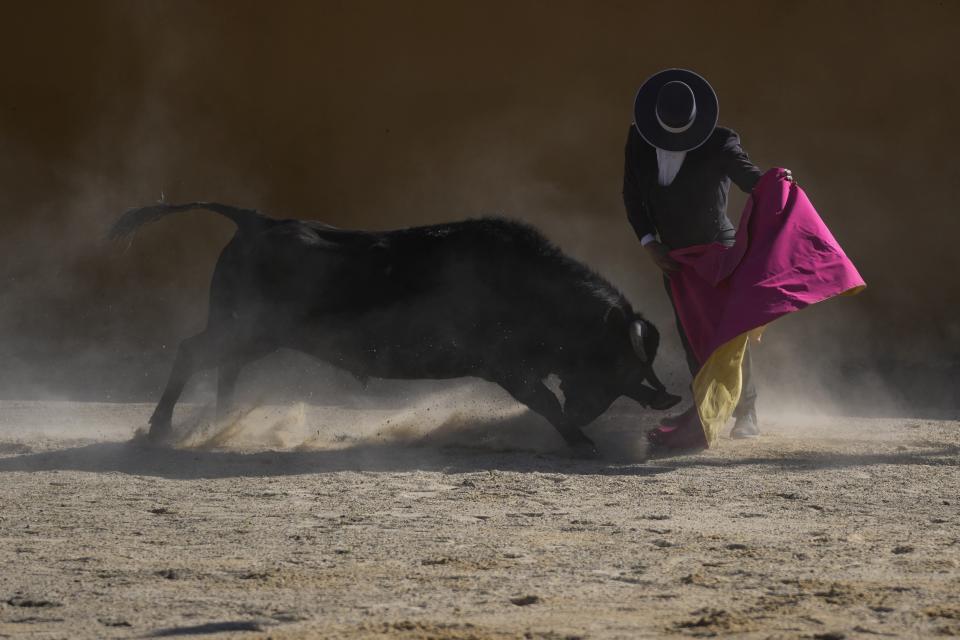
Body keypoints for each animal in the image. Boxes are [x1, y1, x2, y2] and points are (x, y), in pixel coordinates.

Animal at [110, 202, 684, 452]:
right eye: (613, 357)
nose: (664, 396)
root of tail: (256, 221)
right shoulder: (507, 366)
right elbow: (543, 401)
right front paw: (580, 440)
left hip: (252, 333)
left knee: (222, 368)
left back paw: (218, 424)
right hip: (248, 328)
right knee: (191, 351)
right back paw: (161, 429)